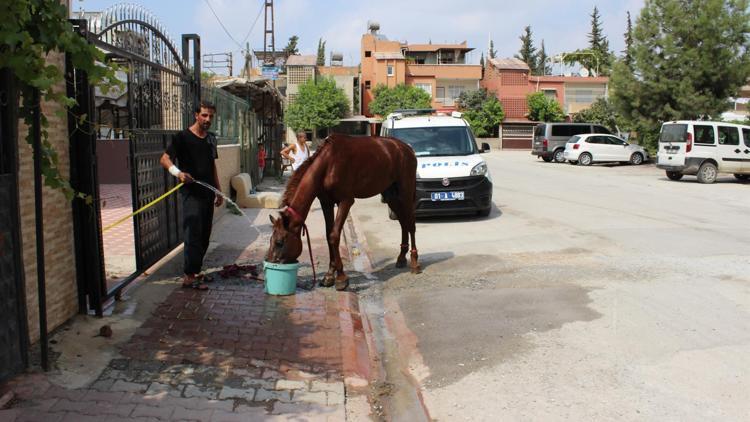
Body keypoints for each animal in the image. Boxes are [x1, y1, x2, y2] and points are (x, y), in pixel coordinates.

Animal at [268, 134, 424, 290]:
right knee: (403, 223)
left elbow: (334, 236)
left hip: (405, 191)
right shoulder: (326, 203)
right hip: (390, 195)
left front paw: (341, 278)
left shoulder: (345, 201)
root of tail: (407, 148)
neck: (328, 165)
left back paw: (415, 263)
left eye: (280, 242)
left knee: (410, 223)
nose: (270, 262)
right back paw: (401, 258)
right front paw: (329, 276)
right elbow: (328, 235)